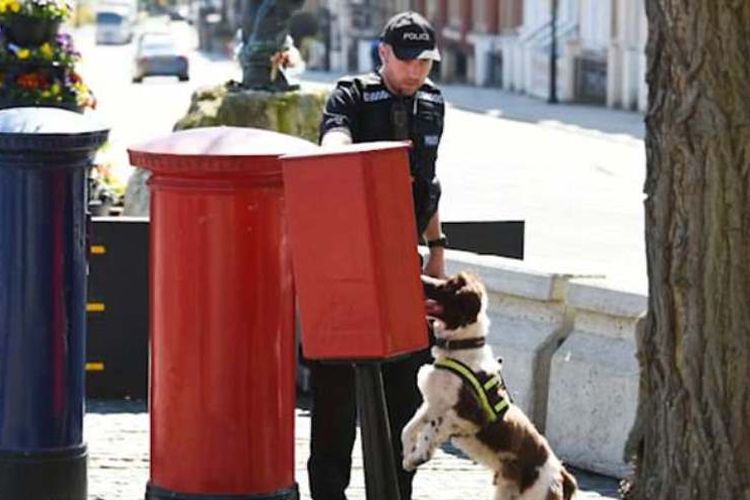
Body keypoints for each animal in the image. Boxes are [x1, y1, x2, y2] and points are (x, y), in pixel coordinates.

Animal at [402, 274, 580, 500]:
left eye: (449, 285)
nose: (422, 278)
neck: (461, 348)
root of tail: (562, 475)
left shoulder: (470, 414)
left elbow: (433, 427)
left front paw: (420, 455)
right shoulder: (432, 403)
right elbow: (410, 428)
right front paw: (409, 456)